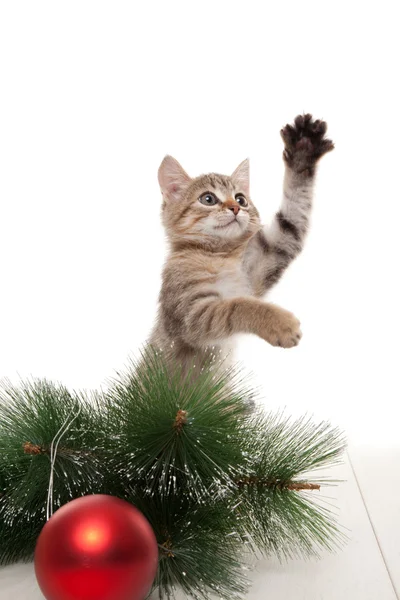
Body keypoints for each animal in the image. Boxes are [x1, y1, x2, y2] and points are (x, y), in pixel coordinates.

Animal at [148, 114, 332, 372]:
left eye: (241, 199)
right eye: (208, 199)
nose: (235, 208)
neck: (219, 255)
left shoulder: (270, 253)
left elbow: (292, 219)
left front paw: (303, 151)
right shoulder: (191, 314)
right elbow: (235, 306)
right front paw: (279, 323)